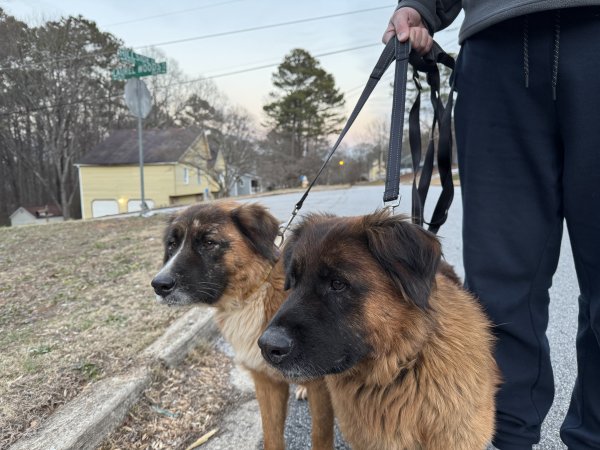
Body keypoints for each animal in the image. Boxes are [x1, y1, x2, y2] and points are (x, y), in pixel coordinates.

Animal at [151, 202, 332, 450]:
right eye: (172, 244)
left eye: (209, 242)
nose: (158, 285)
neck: (255, 292)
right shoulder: (266, 382)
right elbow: (271, 435)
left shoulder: (321, 389)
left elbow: (320, 435)